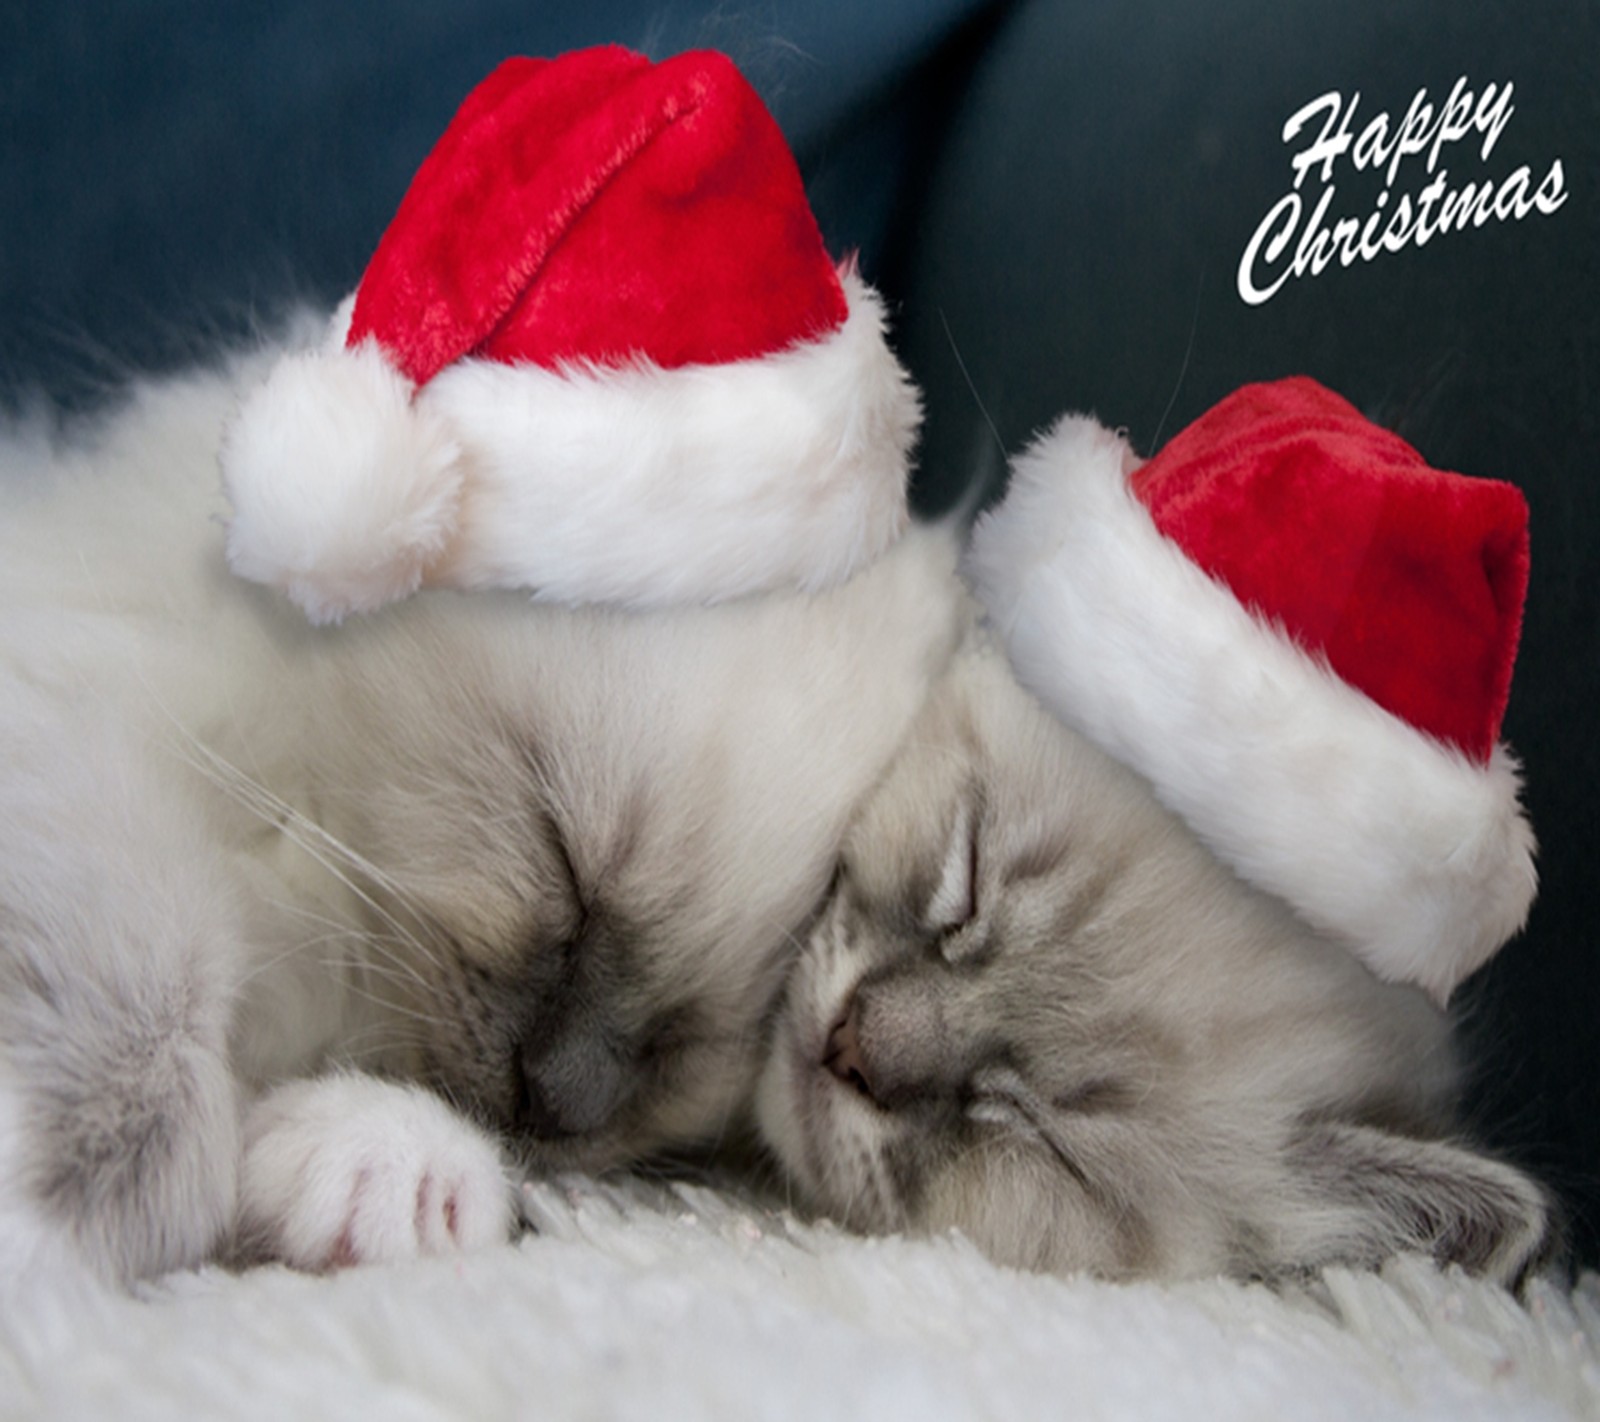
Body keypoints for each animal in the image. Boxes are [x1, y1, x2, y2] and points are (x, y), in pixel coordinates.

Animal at [0, 350, 960, 1279]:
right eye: (563, 865)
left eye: (708, 1030)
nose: (550, 1102)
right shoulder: (93, 769)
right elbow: (146, 1001)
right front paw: (63, 1191)